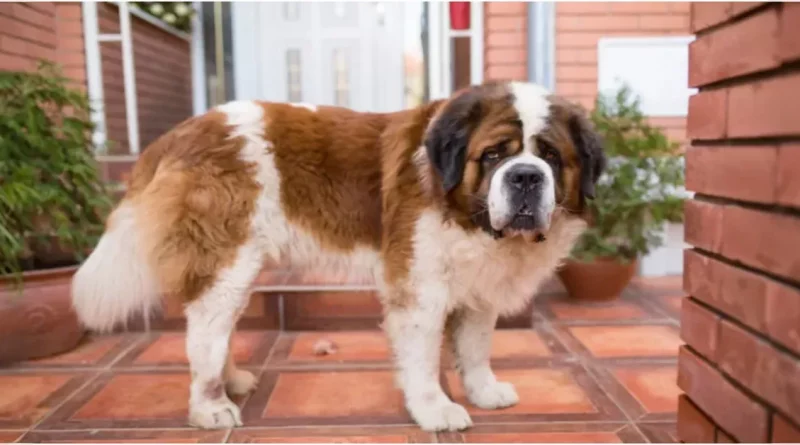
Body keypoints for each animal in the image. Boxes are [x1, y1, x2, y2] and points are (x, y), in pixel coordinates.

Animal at [70, 80, 608, 430]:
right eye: (494, 155)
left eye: (552, 157)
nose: (526, 176)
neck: (461, 210)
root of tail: (176, 134)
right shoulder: (419, 289)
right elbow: (422, 359)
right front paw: (435, 410)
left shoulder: (479, 289)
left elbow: (475, 347)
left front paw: (482, 391)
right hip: (228, 261)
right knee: (204, 335)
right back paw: (209, 408)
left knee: (217, 330)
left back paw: (233, 381)